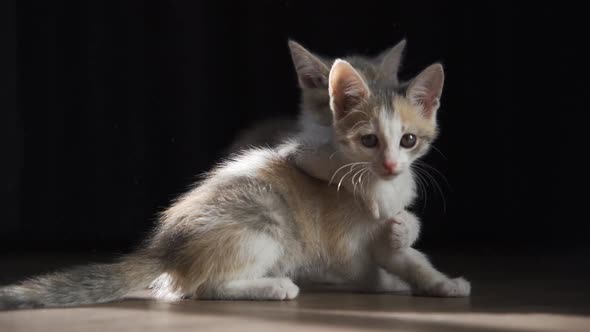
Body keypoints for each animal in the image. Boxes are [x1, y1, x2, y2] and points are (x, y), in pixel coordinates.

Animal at [0, 42, 472, 310]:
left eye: (408, 140)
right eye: (369, 141)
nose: (391, 166)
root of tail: (166, 248)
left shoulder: (379, 228)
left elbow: (409, 256)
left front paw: (441, 282)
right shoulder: (342, 243)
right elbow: (363, 269)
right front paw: (389, 282)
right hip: (265, 227)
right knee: (195, 287)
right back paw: (274, 286)